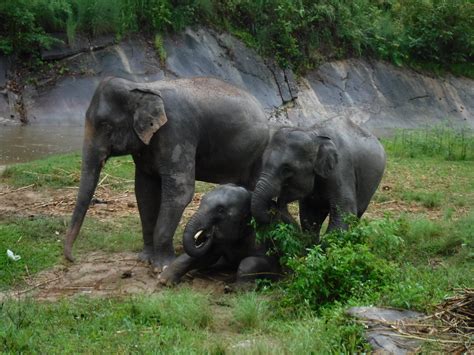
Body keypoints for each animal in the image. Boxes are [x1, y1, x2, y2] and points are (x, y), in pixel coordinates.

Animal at [64, 76, 268, 270]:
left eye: (105, 125)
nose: (72, 258)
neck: (141, 87)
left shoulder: (176, 130)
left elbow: (180, 191)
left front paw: (162, 266)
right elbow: (145, 191)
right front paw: (146, 259)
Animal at [252, 117, 386, 242]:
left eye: (287, 169)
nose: (273, 205)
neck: (313, 135)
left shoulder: (341, 168)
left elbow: (345, 210)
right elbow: (310, 215)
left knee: (358, 213)